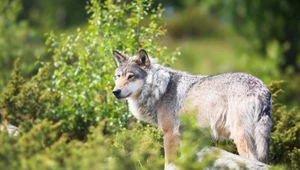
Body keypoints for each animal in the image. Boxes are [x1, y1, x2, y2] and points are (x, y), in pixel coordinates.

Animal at [112, 49, 272, 167]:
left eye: (130, 76)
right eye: (118, 76)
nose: (115, 91)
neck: (159, 89)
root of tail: (262, 89)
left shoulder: (170, 134)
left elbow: (168, 164)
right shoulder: (186, 138)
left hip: (239, 136)